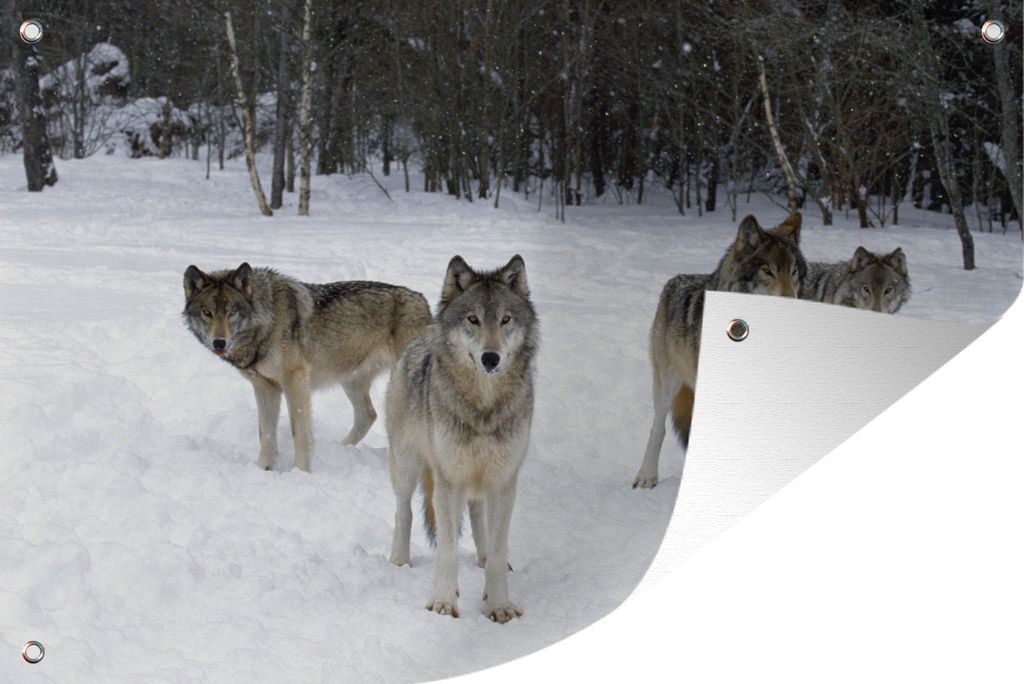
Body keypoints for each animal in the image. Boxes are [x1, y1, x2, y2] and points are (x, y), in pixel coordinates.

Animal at [183, 262, 431, 472]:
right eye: (207, 313)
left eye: (232, 312)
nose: (219, 343)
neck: (266, 322)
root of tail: (423, 300)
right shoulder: (265, 388)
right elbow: (266, 434)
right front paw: (262, 468)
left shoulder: (295, 381)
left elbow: (299, 433)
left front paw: (300, 472)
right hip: (350, 381)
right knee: (368, 415)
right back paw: (341, 449)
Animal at [386, 255, 538, 624]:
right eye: (473, 319)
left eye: (505, 319)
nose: (490, 358)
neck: (483, 407)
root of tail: (420, 338)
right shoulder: (448, 481)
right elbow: (447, 550)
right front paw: (443, 602)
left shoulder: (504, 481)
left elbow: (497, 550)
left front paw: (499, 605)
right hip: (407, 466)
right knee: (404, 511)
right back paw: (399, 560)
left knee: (479, 517)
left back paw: (481, 559)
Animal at [632, 213, 806, 489]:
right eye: (767, 271)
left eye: (794, 272)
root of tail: (676, 279)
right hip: (667, 384)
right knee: (658, 428)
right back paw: (646, 477)